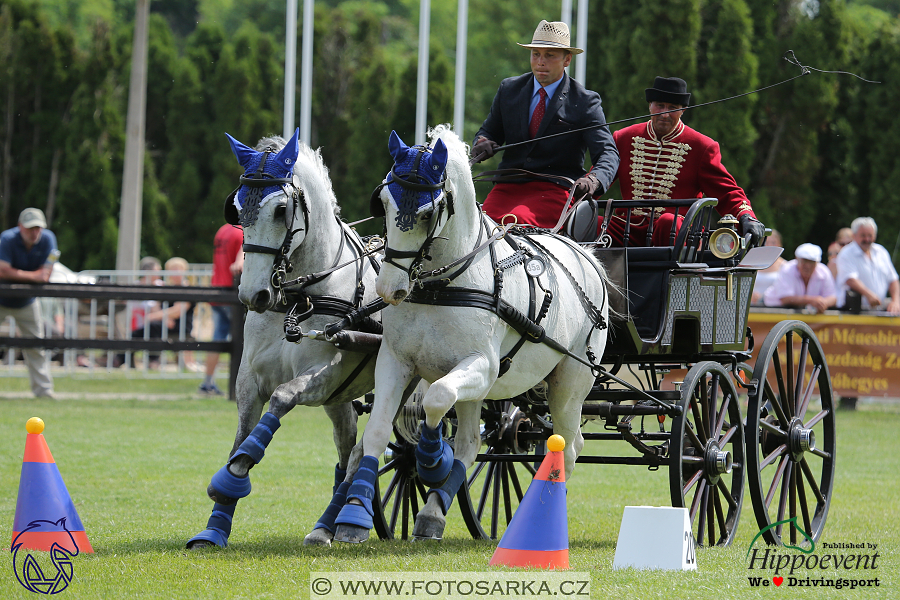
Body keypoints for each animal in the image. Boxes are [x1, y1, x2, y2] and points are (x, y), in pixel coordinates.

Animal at [188, 127, 382, 548]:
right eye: (236, 208)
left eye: (281, 209)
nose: (253, 294)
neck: (299, 297)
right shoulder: (249, 381)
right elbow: (242, 434)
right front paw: (215, 524)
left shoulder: (323, 372)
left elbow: (282, 396)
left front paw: (234, 472)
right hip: (340, 398)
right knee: (348, 448)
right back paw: (327, 524)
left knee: (365, 452)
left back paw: (343, 521)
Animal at [330, 124, 612, 540]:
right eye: (382, 202)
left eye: (427, 212)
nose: (388, 288)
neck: (442, 284)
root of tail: (585, 253)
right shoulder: (396, 362)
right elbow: (378, 432)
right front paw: (353, 516)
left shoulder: (481, 366)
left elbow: (436, 398)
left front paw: (431, 458)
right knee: (471, 441)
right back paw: (432, 513)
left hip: (570, 382)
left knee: (568, 444)